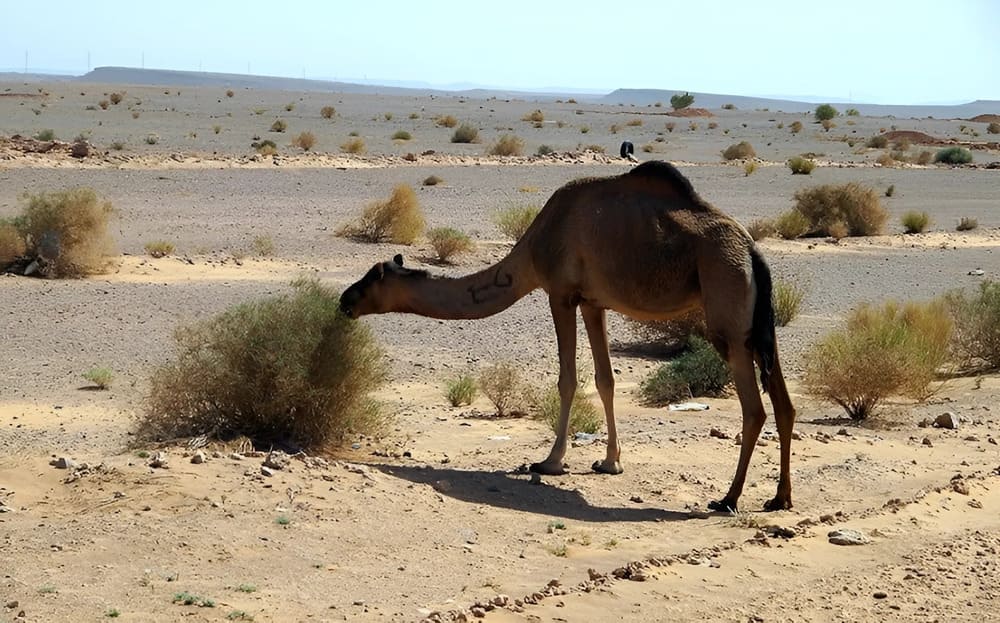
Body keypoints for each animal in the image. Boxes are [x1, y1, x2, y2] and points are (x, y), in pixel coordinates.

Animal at [342, 161, 796, 512]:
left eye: (369, 280)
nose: (344, 301)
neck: (531, 249)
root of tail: (753, 252)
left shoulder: (560, 293)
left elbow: (567, 379)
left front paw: (550, 461)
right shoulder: (594, 302)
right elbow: (605, 379)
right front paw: (610, 462)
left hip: (727, 308)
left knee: (754, 409)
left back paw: (728, 499)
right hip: (757, 325)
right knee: (784, 404)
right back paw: (780, 498)